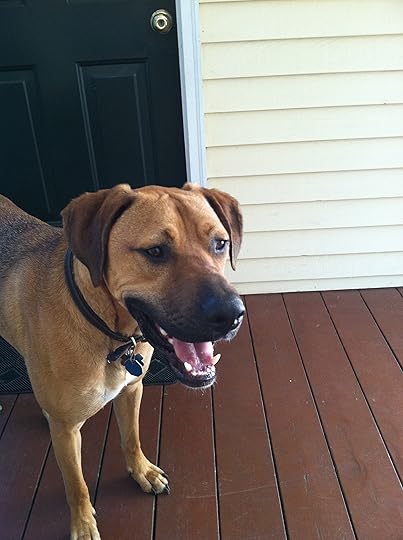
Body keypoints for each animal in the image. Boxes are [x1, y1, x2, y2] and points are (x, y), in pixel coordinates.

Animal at [0, 183, 244, 539]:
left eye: (220, 244)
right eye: (155, 251)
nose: (232, 315)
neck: (110, 330)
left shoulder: (131, 389)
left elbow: (131, 438)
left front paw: (142, 472)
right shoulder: (67, 430)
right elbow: (76, 485)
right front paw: (83, 524)